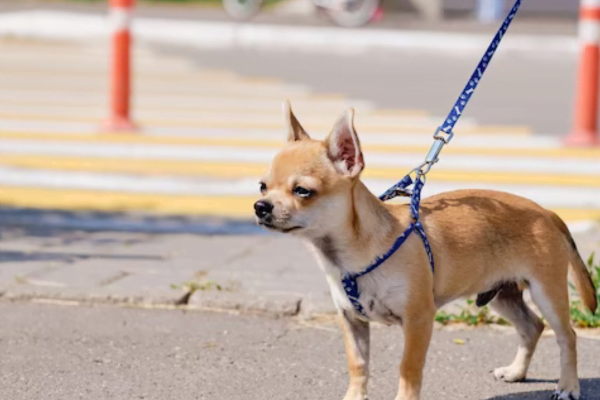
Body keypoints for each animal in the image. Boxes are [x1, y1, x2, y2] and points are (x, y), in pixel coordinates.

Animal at [255, 103, 596, 400]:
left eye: (303, 191)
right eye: (262, 186)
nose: (260, 207)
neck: (348, 255)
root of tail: (546, 212)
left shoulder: (418, 320)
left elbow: (408, 368)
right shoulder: (352, 321)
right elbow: (358, 365)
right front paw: (353, 397)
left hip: (546, 293)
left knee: (567, 336)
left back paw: (568, 386)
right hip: (503, 295)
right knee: (531, 327)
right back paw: (516, 372)